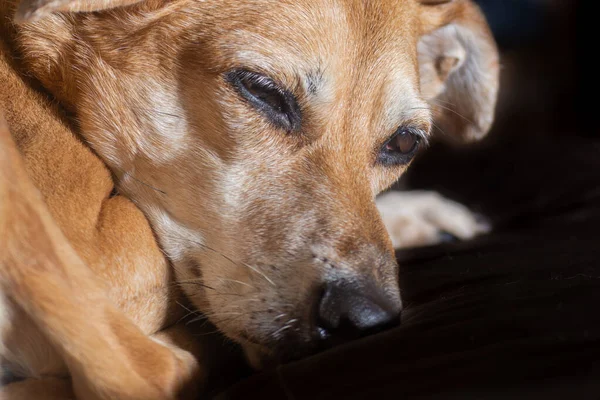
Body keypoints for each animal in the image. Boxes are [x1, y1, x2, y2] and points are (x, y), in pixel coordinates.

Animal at [0, 1, 500, 398]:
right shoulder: (96, 245)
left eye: (404, 142)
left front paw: (419, 212)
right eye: (261, 90)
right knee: (154, 370)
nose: (362, 319)